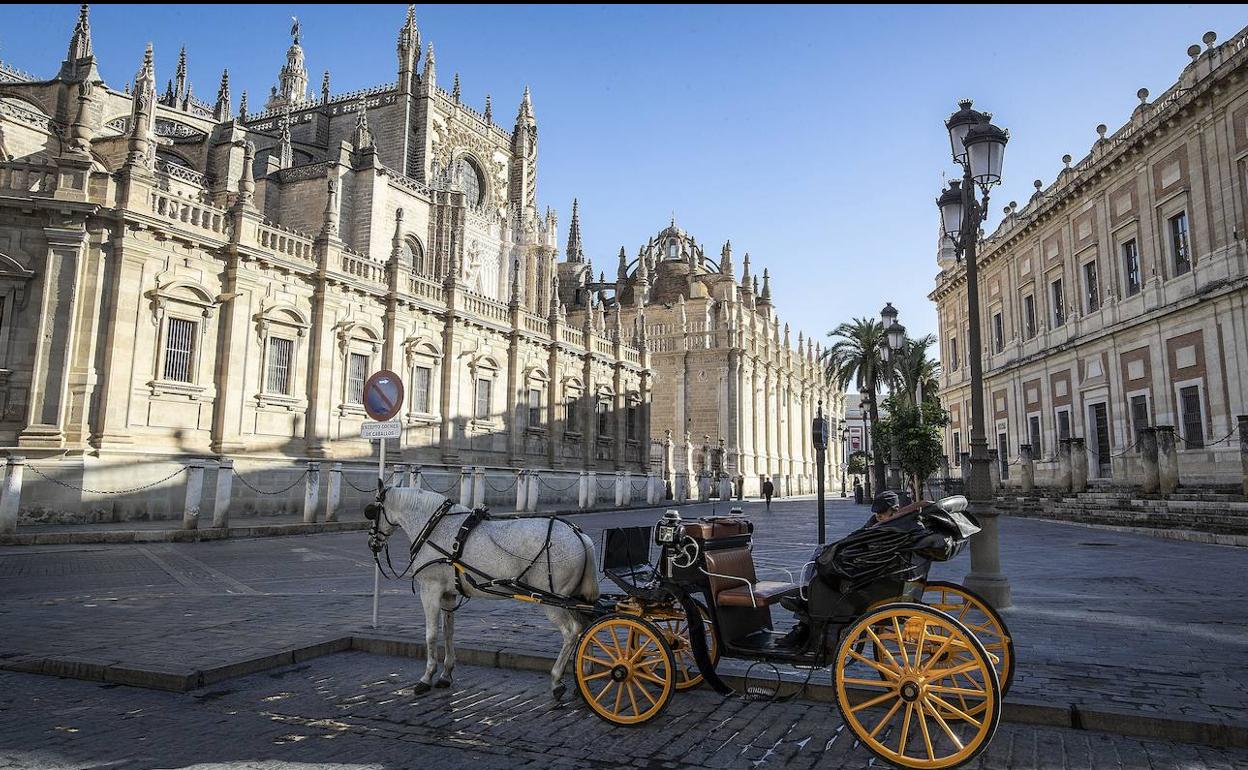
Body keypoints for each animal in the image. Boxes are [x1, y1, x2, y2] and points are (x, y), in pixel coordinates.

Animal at [366, 491, 601, 698]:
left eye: (373, 511)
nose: (372, 543)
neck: (435, 527)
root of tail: (579, 535)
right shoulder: (448, 595)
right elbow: (448, 632)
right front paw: (446, 675)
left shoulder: (430, 590)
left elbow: (431, 635)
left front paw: (426, 677)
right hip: (575, 599)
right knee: (588, 627)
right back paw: (584, 676)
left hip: (552, 601)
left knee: (572, 631)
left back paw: (557, 679)